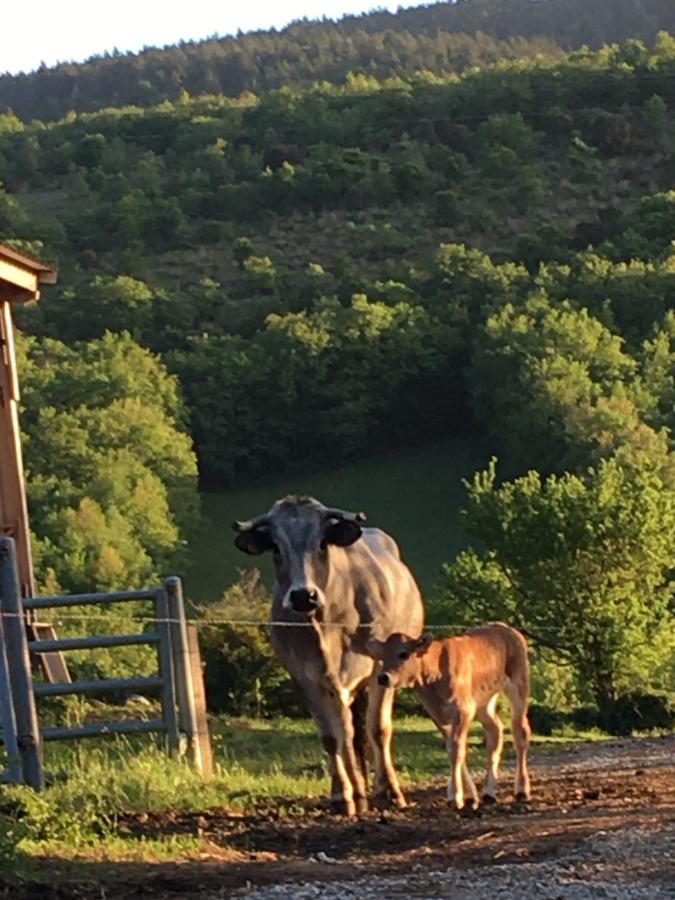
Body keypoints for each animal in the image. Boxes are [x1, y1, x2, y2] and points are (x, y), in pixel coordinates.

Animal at [232, 492, 422, 816]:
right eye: (276, 548)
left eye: (322, 543)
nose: (302, 595)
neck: (328, 625)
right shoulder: (305, 676)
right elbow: (333, 737)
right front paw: (344, 796)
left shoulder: (380, 668)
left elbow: (378, 728)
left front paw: (390, 792)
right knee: (349, 733)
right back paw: (357, 789)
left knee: (364, 731)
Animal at [368, 624, 532, 808]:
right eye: (381, 656)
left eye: (403, 653)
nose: (383, 677)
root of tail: (504, 627)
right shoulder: (437, 713)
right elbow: (452, 748)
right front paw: (468, 795)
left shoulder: (462, 710)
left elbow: (456, 749)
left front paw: (455, 795)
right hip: (484, 701)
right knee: (494, 731)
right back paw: (489, 792)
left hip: (519, 686)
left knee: (520, 732)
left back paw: (522, 790)